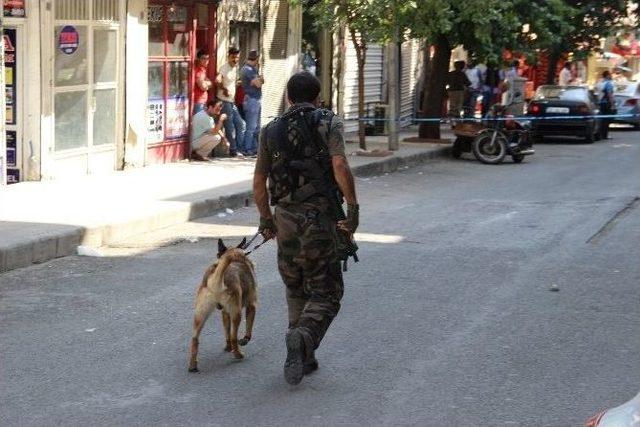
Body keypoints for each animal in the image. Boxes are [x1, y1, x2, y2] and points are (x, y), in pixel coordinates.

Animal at [189, 239, 258, 372]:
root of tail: (216, 278)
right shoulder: (252, 306)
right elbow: (248, 329)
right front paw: (244, 340)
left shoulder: (225, 312)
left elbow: (226, 331)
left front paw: (227, 347)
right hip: (237, 314)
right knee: (234, 336)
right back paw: (238, 354)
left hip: (200, 316)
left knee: (194, 339)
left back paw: (192, 365)